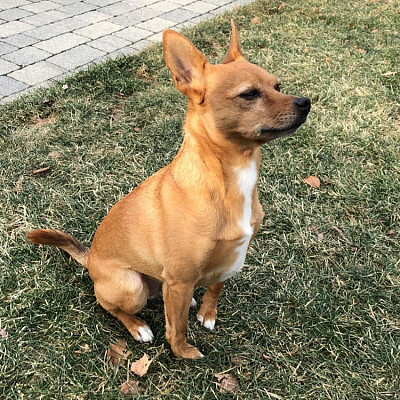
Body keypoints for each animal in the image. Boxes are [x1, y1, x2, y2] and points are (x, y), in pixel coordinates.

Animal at [27, 21, 310, 359]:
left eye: (278, 86)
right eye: (249, 94)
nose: (305, 103)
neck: (229, 177)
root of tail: (91, 259)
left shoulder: (231, 258)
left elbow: (215, 288)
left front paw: (208, 313)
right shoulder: (179, 279)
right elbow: (177, 328)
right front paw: (184, 353)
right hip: (131, 285)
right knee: (110, 306)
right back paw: (138, 326)